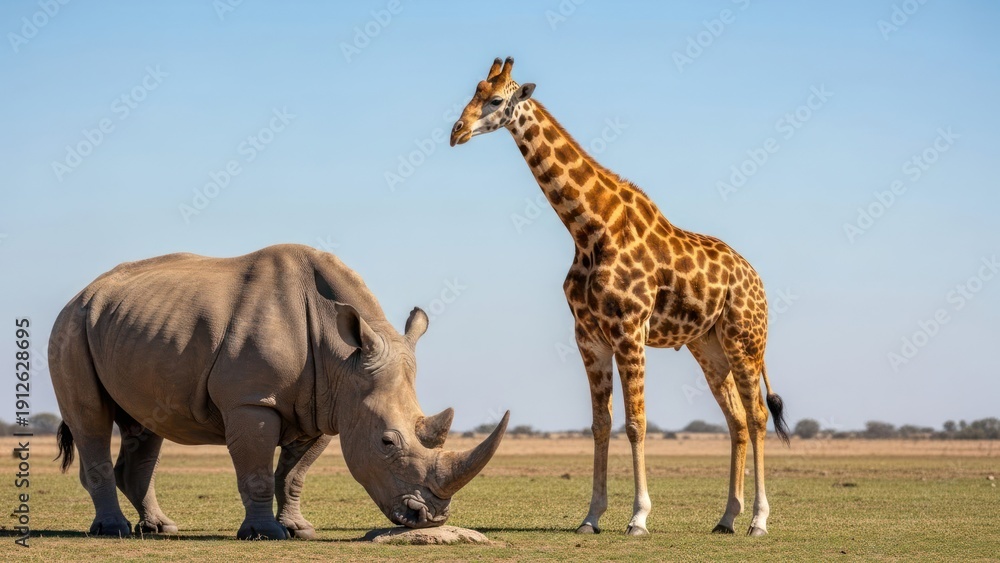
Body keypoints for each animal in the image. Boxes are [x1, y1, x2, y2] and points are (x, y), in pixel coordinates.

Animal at [49, 244, 509, 539]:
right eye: (386, 442)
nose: (429, 517)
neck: (344, 360)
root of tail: (83, 292)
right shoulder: (252, 401)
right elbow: (256, 471)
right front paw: (264, 534)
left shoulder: (328, 407)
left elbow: (293, 474)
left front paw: (299, 529)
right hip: (71, 327)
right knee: (91, 420)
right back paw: (113, 531)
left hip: (129, 325)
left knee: (145, 427)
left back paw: (160, 529)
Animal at [449, 58, 790, 537]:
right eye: (473, 92)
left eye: (496, 100)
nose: (456, 131)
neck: (590, 228)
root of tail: (756, 279)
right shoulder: (589, 336)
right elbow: (600, 424)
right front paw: (591, 517)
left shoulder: (629, 329)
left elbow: (635, 423)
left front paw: (639, 517)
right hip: (709, 347)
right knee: (737, 421)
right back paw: (727, 517)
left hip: (745, 339)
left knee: (758, 415)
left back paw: (758, 520)